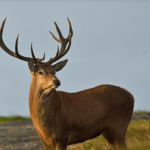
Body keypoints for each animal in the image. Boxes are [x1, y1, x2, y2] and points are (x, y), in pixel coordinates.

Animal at [0, 17, 134, 150]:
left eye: (54, 71)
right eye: (40, 72)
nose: (57, 81)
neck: (45, 127)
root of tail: (131, 96)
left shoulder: (62, 136)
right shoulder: (45, 142)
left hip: (119, 126)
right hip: (107, 132)